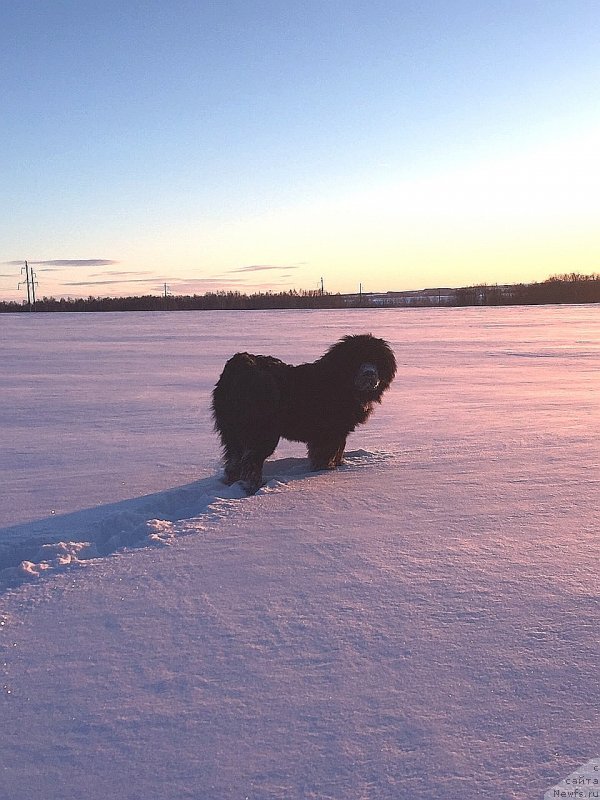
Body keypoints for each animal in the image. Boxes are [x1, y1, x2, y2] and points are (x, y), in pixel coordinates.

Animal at [212, 332, 398, 494]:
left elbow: (339, 450)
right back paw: (253, 487)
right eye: (357, 358)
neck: (341, 382)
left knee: (234, 461)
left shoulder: (339, 431)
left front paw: (339, 465)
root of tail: (240, 367)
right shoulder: (328, 432)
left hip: (232, 434)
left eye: (377, 360)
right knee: (250, 462)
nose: (369, 374)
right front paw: (324, 470)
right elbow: (327, 453)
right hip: (261, 433)